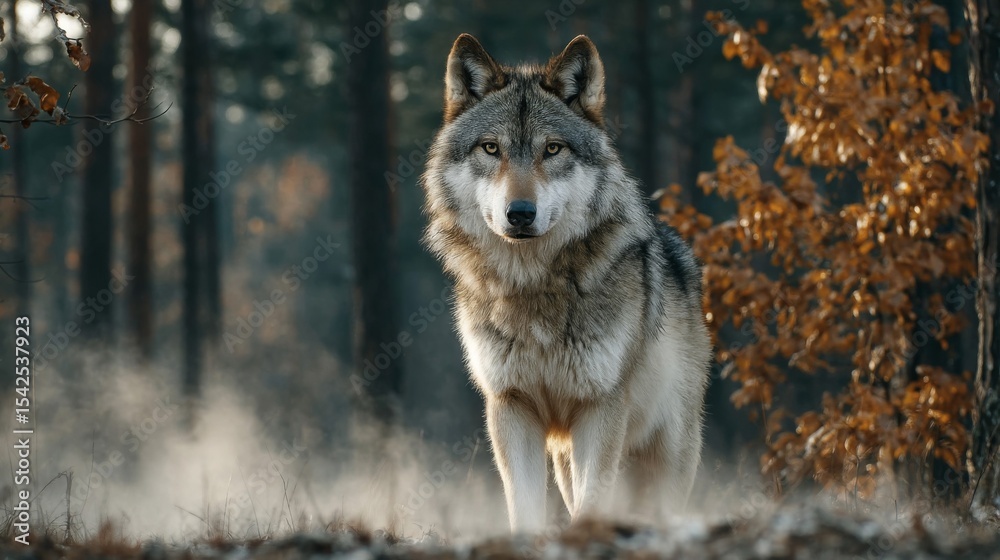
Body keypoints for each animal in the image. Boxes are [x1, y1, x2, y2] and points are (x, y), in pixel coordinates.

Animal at [421, 33, 712, 532]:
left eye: (553, 149)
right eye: (491, 149)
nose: (520, 213)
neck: (533, 287)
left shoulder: (600, 409)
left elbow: (594, 503)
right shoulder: (511, 407)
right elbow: (525, 509)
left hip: (669, 453)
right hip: (563, 457)